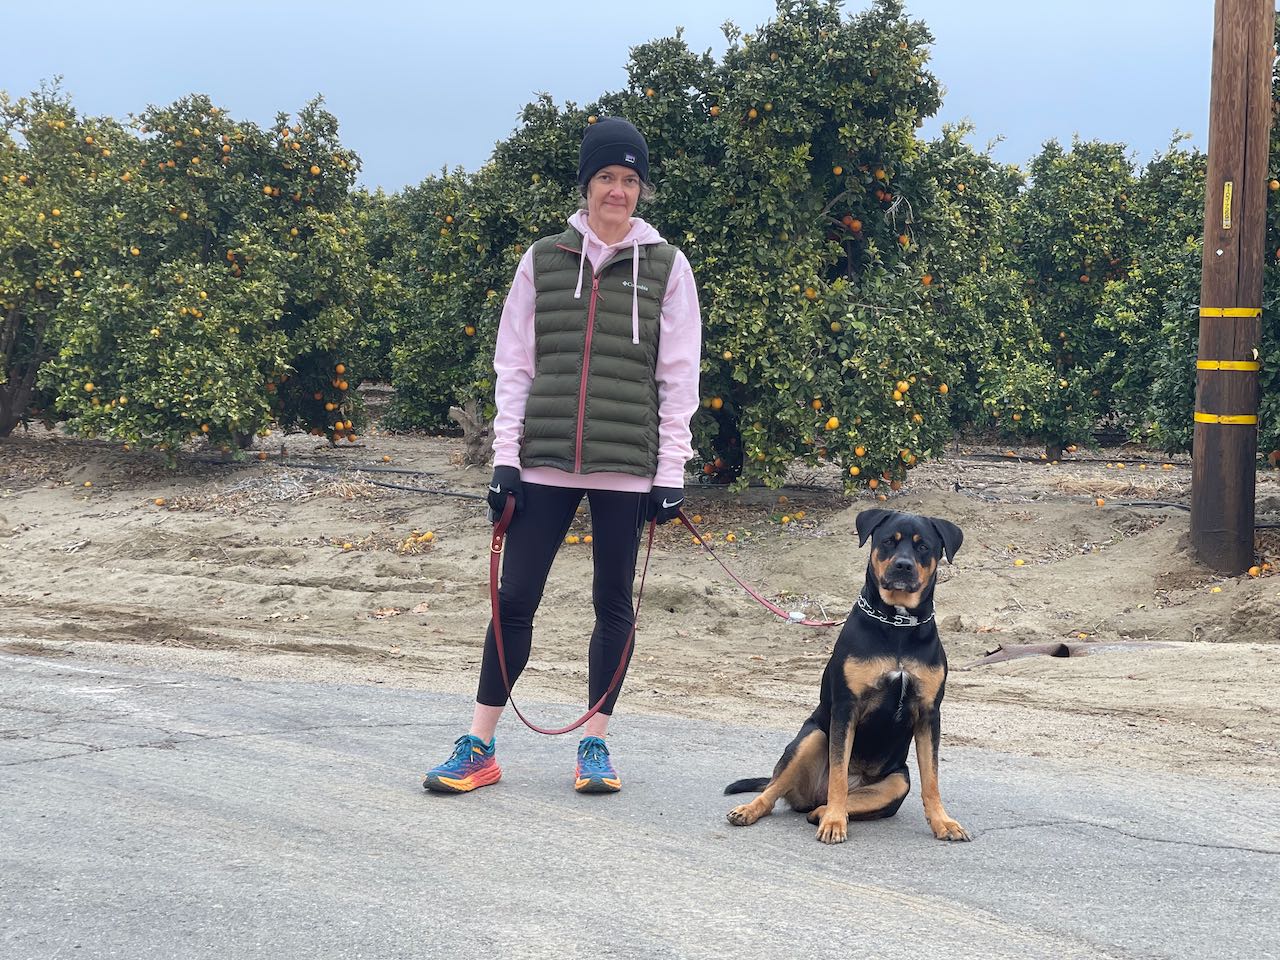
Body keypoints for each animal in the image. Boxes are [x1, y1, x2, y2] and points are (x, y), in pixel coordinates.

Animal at [727, 506, 962, 844]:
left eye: (923, 547)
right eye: (889, 541)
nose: (903, 566)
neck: (897, 626)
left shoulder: (929, 713)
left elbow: (931, 779)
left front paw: (943, 822)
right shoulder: (846, 707)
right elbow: (838, 774)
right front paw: (835, 823)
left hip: (898, 781)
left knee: (830, 803)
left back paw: (822, 812)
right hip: (813, 736)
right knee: (776, 789)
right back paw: (755, 810)